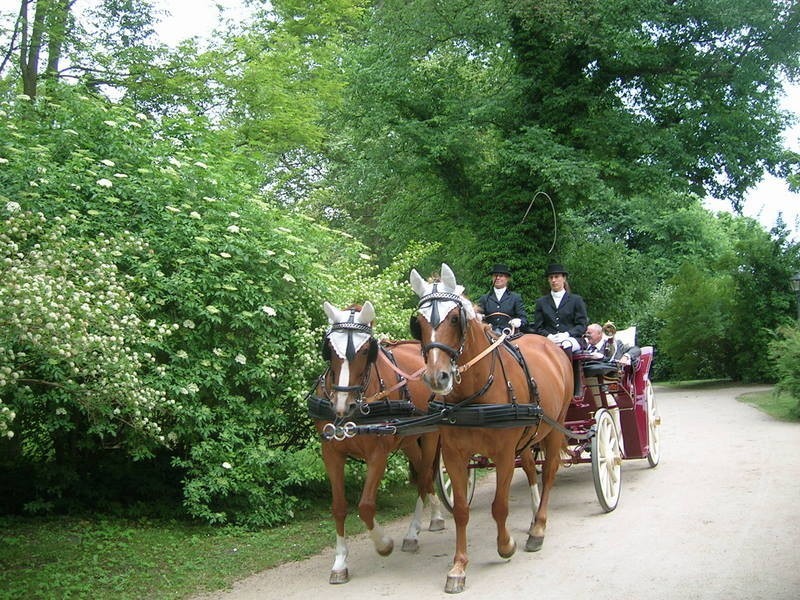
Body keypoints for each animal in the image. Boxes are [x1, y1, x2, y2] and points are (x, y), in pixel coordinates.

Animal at [310, 302, 444, 584]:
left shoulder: (378, 453)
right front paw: (340, 562)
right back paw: (435, 515)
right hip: (408, 439)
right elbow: (339, 507)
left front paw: (384, 544)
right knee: (423, 476)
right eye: (330, 349)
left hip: (430, 435)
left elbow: (366, 507)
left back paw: (413, 533)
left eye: (365, 350)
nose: (343, 405)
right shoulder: (331, 452)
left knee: (425, 478)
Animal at [410, 264, 572, 592]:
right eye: (417, 323)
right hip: (529, 436)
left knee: (548, 473)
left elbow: (500, 505)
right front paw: (458, 567)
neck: (474, 396)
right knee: (531, 469)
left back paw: (538, 528)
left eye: (454, 319)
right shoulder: (454, 456)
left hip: (555, 428)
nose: (437, 377)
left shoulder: (504, 454)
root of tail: (551, 346)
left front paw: (506, 545)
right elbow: (461, 510)